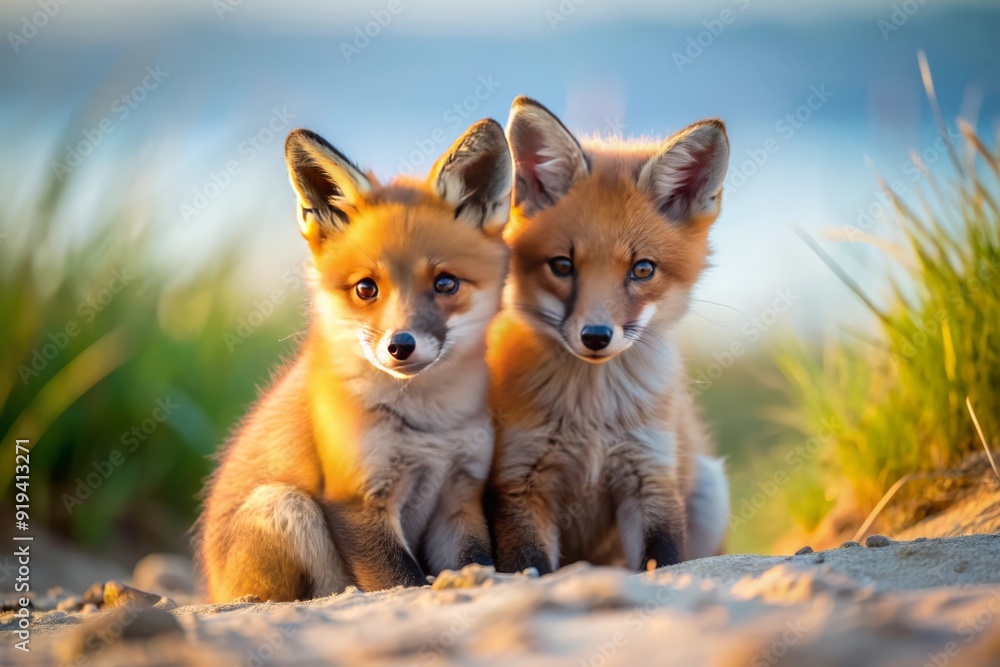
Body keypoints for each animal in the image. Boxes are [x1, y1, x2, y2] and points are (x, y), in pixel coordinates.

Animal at [196, 118, 512, 602]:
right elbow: (401, 582)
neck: (429, 428)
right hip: (287, 507)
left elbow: (476, 562)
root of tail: (212, 587)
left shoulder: (460, 496)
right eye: (366, 288)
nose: (400, 345)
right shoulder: (357, 499)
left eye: (445, 283)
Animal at [487, 97, 731, 575]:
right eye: (563, 265)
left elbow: (665, 561)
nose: (596, 336)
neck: (592, 418)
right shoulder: (520, 481)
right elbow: (531, 567)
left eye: (642, 270)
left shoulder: (649, 475)